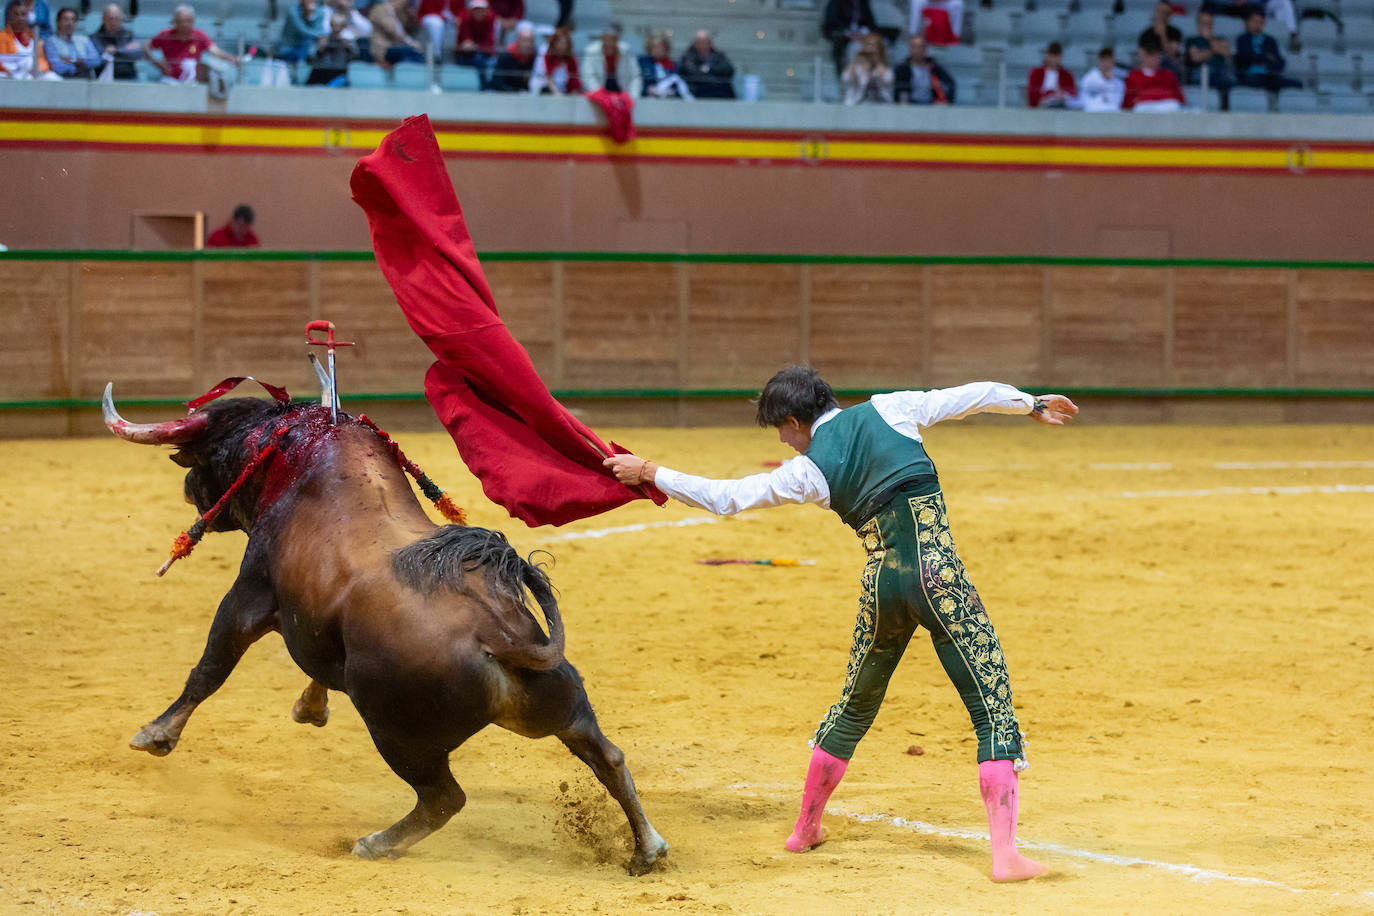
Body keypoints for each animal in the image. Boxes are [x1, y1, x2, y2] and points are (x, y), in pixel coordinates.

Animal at [101, 387, 670, 873]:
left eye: (214, 452)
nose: (188, 490)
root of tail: (497, 635)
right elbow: (314, 663)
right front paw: (310, 708)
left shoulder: (248, 595)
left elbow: (210, 668)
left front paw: (154, 734)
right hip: (565, 706)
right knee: (607, 756)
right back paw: (647, 848)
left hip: (396, 731)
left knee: (444, 798)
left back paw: (375, 843)